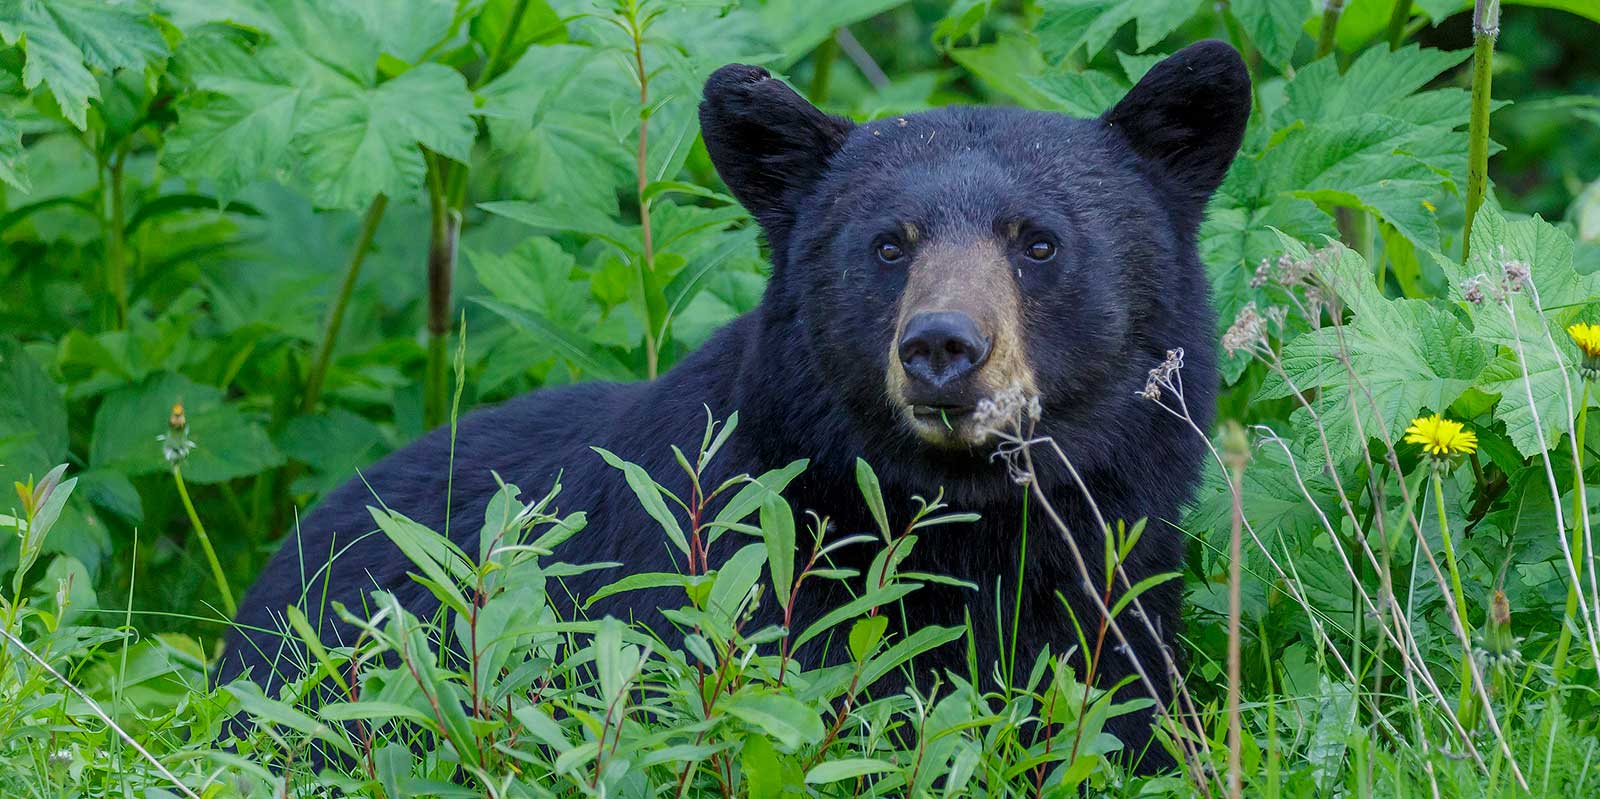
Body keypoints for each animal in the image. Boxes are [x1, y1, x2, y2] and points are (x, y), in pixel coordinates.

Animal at [222, 40, 1248, 771]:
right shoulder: (734, 580)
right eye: (889, 244)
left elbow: (1130, 716)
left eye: (1037, 242)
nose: (942, 346)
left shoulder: (1118, 586)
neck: (966, 523)